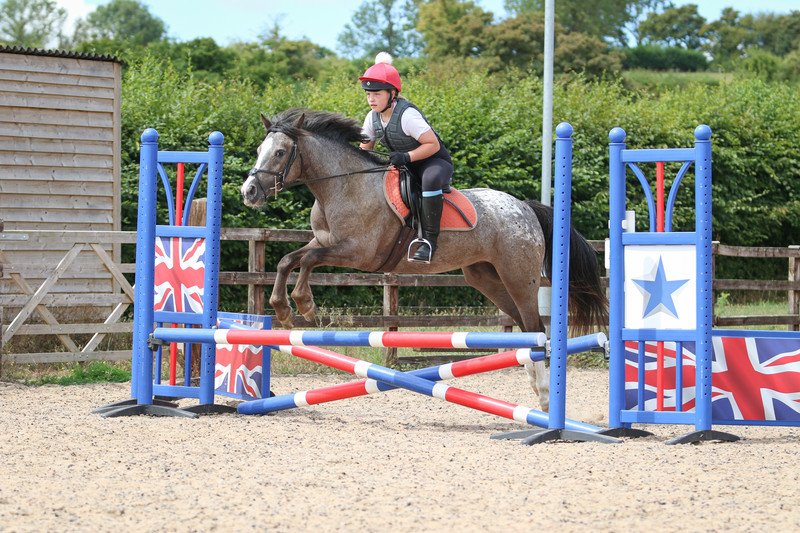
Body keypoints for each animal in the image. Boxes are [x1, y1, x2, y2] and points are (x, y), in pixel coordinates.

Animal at [240, 108, 608, 411]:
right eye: (259, 150)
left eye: (280, 152)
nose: (249, 192)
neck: (344, 187)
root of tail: (526, 208)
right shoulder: (324, 241)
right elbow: (288, 259)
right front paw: (282, 308)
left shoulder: (358, 252)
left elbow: (309, 261)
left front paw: (304, 304)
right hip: (485, 277)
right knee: (524, 329)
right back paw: (536, 387)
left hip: (518, 276)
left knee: (536, 328)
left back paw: (545, 397)